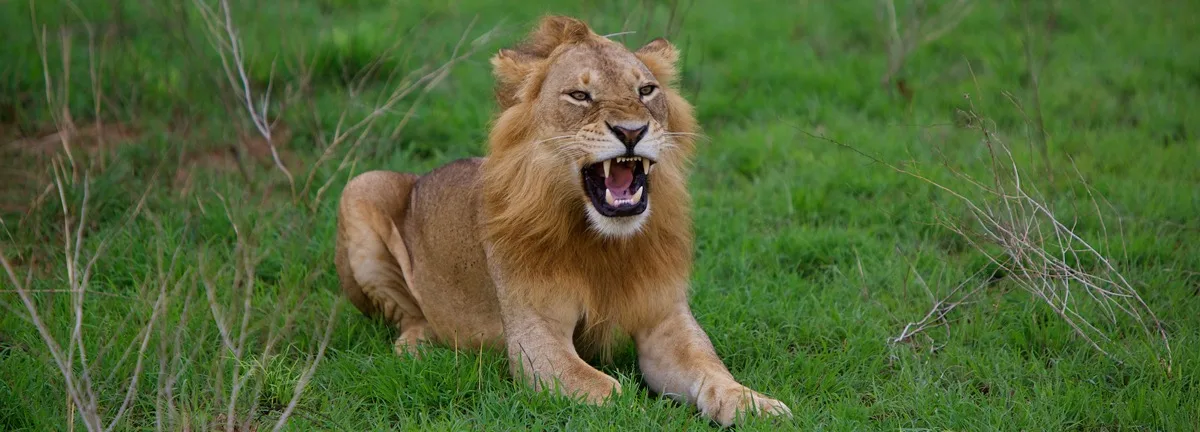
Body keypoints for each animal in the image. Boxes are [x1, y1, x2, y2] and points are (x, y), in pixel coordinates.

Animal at [334, 15, 792, 426]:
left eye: (646, 90)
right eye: (579, 95)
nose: (632, 131)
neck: (605, 241)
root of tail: (422, 176)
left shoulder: (665, 320)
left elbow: (712, 371)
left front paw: (756, 405)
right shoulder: (535, 339)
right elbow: (610, 390)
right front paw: (645, 414)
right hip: (360, 187)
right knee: (407, 317)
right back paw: (421, 347)